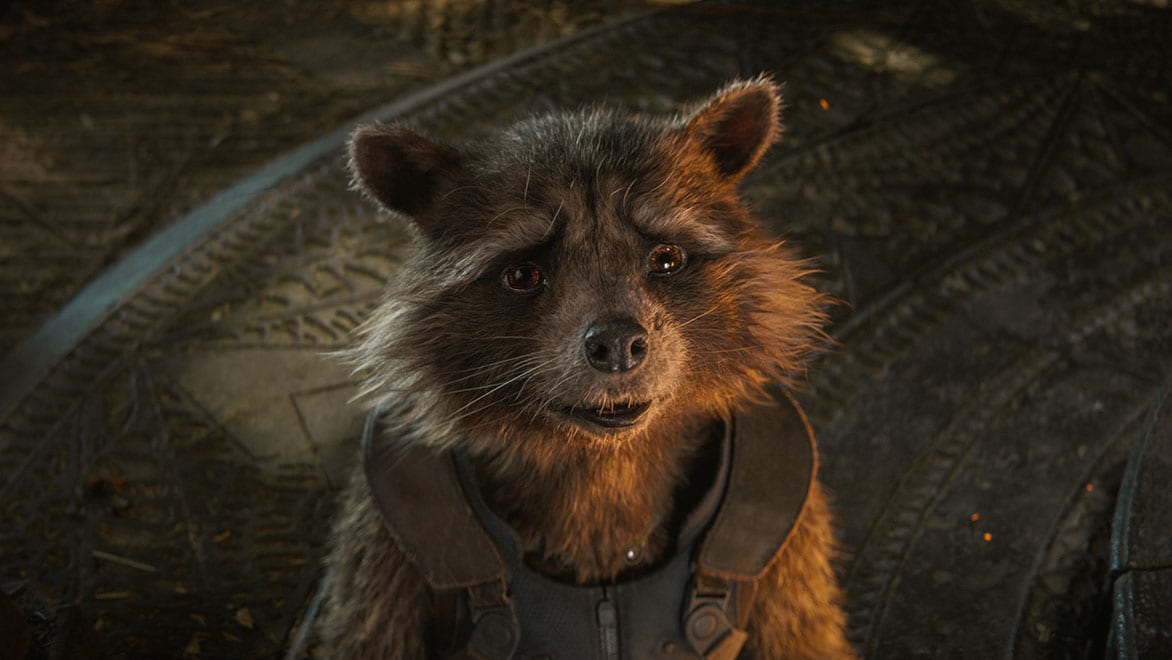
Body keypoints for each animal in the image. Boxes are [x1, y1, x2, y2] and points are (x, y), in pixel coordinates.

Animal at [313, 79, 853, 659]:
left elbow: (804, 636)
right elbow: (365, 636)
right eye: (523, 274)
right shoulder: (386, 537)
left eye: (666, 258)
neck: (604, 460)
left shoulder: (791, 527)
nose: (616, 345)